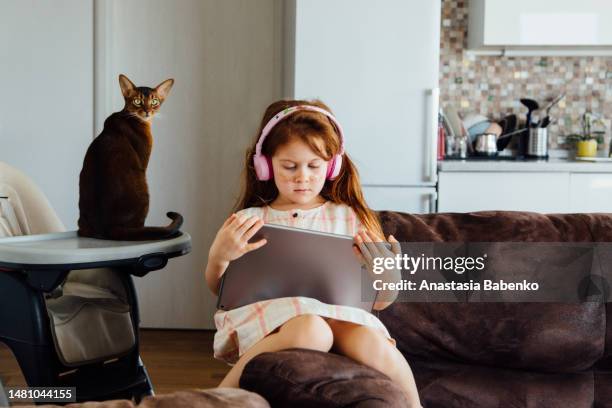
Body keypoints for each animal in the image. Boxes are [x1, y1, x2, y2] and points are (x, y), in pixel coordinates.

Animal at [77, 74, 182, 239]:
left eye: (154, 101)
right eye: (137, 101)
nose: (147, 112)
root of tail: (108, 228)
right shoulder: (143, 162)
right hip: (144, 185)